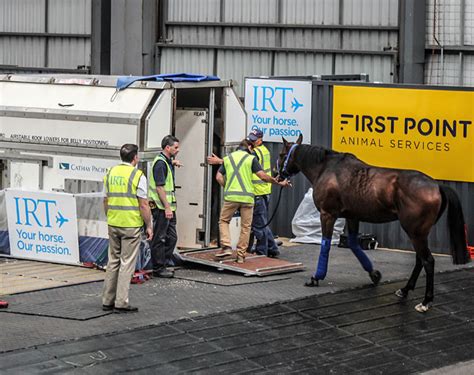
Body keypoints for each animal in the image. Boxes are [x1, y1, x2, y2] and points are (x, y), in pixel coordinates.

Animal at [278, 134, 470, 312]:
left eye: (281, 155)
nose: (277, 174)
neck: (327, 169)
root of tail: (436, 186)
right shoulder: (352, 216)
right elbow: (354, 245)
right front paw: (374, 274)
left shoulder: (328, 215)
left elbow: (325, 246)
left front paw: (316, 277)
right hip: (419, 233)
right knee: (419, 260)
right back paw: (405, 290)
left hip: (415, 232)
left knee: (428, 261)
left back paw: (425, 301)